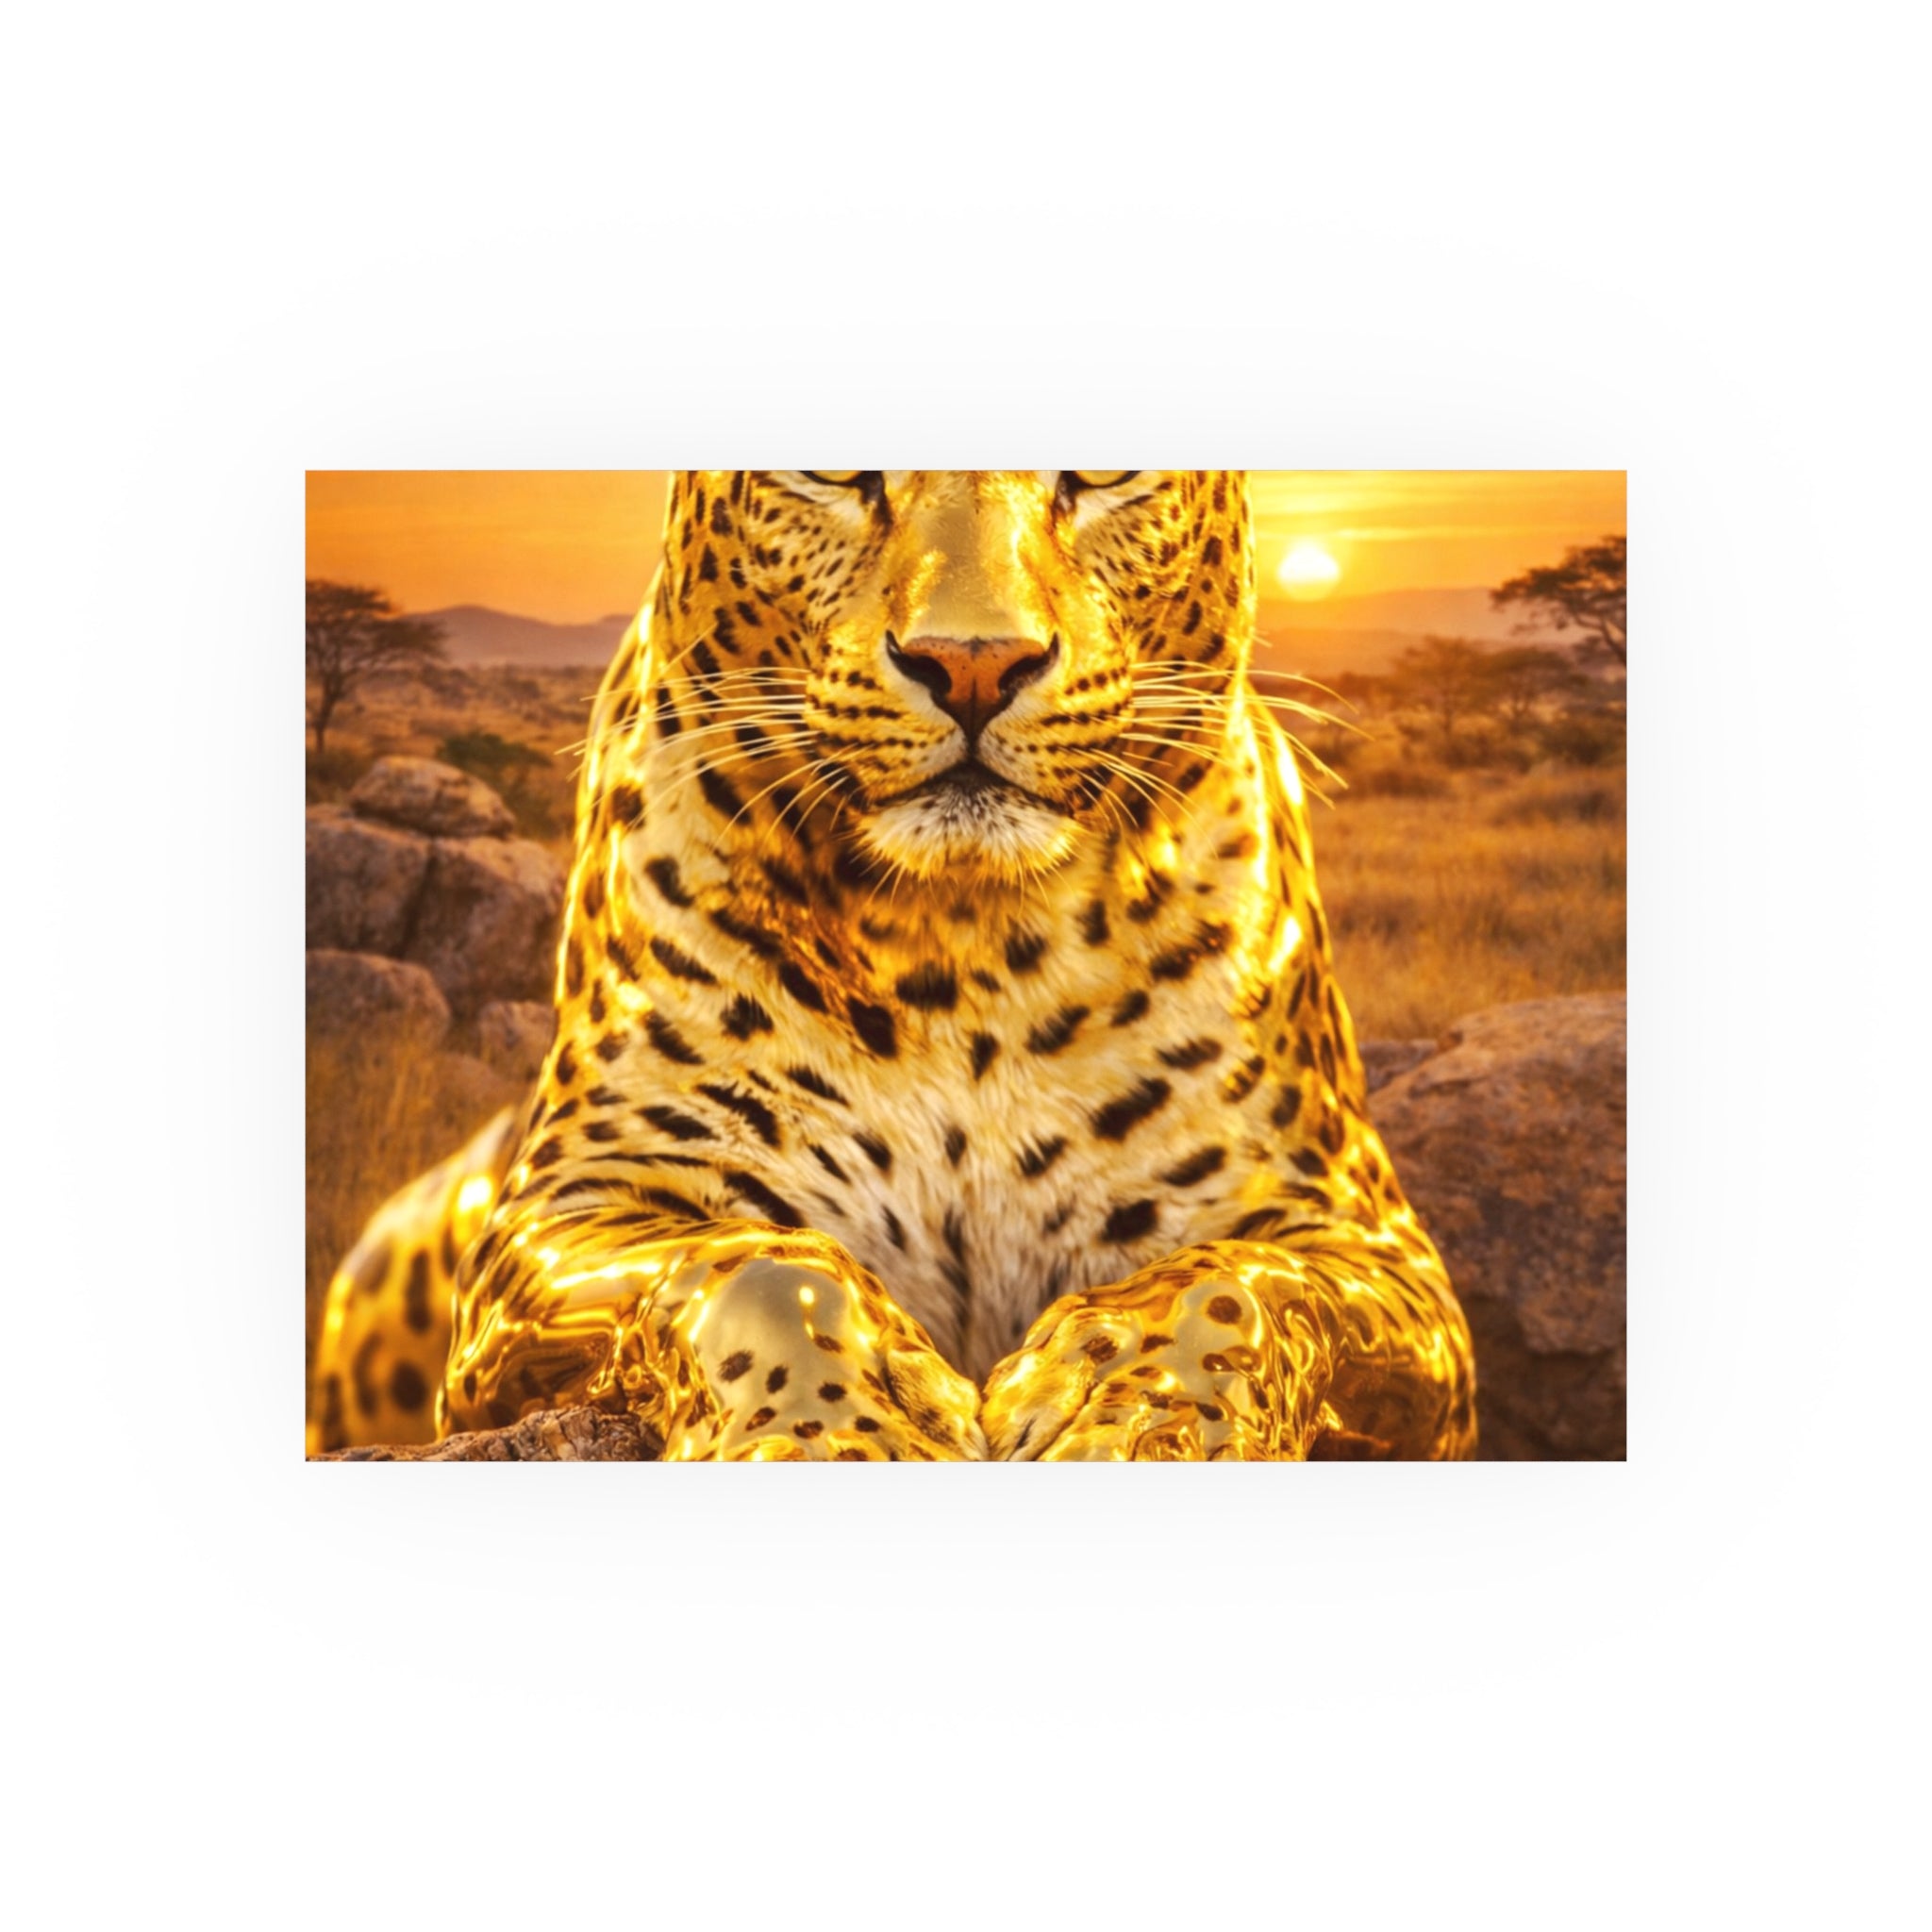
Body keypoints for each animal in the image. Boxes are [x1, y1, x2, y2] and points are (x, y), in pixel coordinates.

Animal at [308, 470, 1477, 1461]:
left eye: (1101, 472)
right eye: (833, 470)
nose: (972, 664)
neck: (964, 946)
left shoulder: (1362, 1237)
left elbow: (1224, 1285)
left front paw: (1121, 1417)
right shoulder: (572, 1202)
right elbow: (755, 1264)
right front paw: (849, 1427)